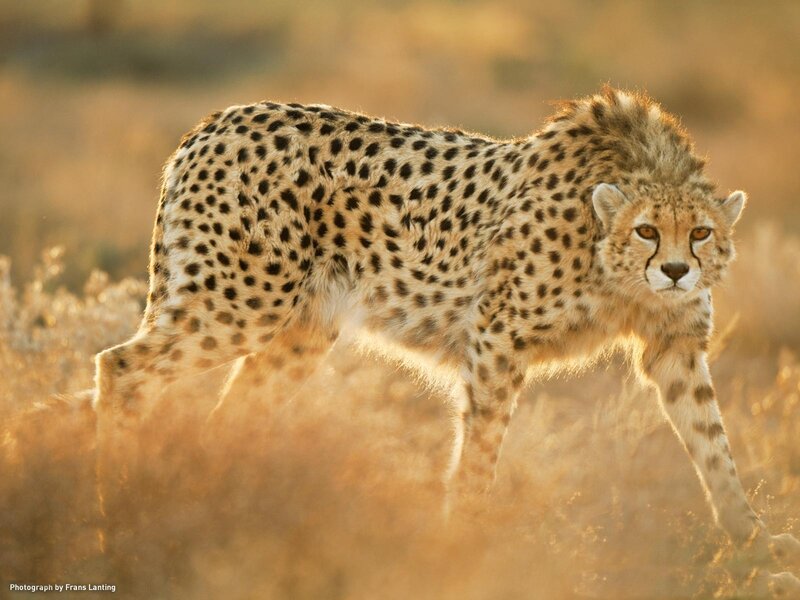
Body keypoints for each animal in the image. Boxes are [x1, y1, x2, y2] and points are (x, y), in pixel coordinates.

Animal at [94, 86, 799, 594]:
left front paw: (752, 541)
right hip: (238, 302)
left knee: (226, 415)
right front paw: (465, 544)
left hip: (298, 332)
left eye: (701, 233)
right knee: (119, 365)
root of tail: (215, 121)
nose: (676, 270)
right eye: (648, 230)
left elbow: (714, 445)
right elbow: (480, 450)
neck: (610, 262)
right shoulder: (497, 338)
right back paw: (118, 517)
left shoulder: (674, 349)